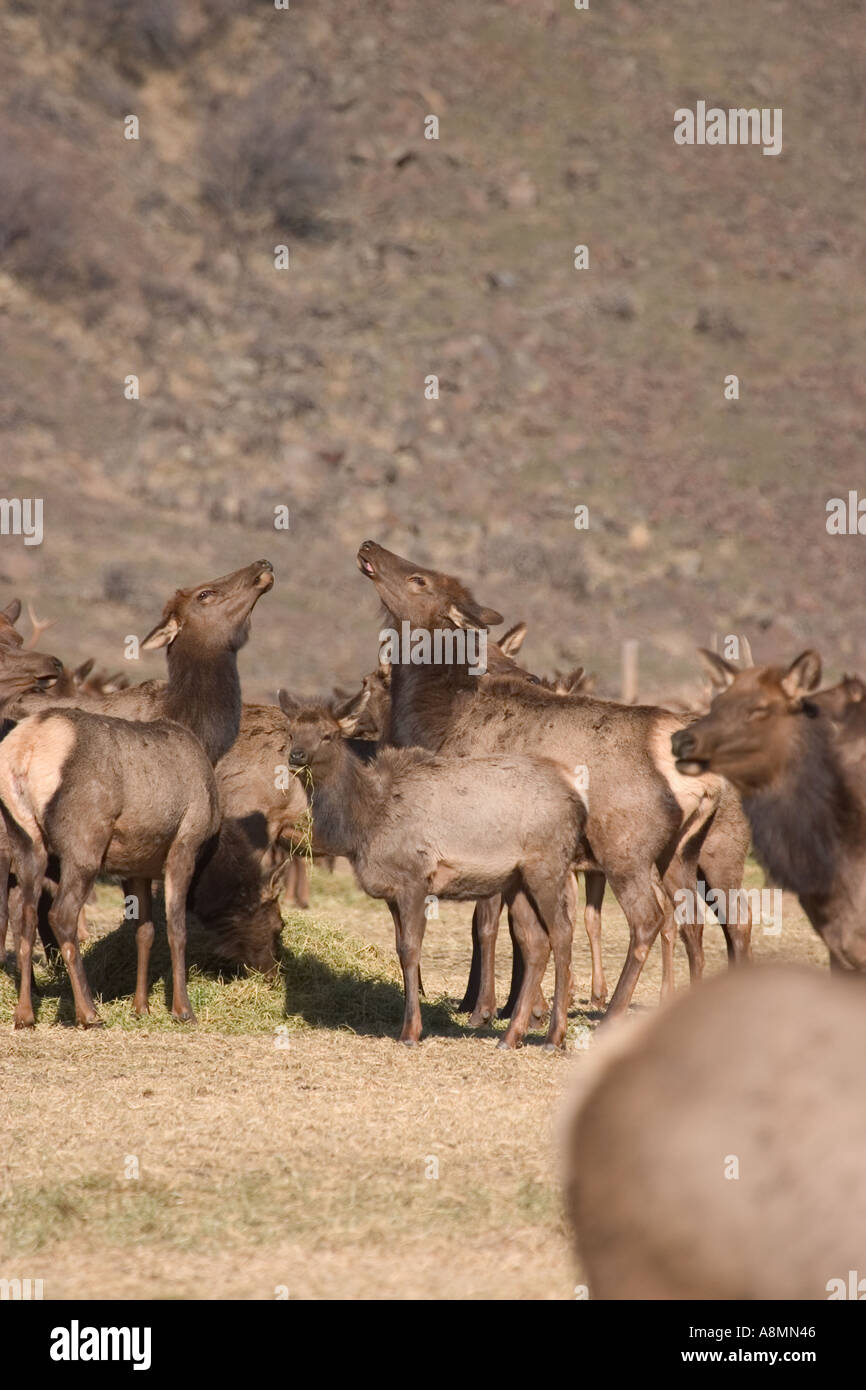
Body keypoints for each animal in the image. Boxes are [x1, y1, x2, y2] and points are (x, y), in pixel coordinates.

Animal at [278, 690, 588, 1049]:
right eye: (291, 732)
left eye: (328, 735)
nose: (296, 755)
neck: (364, 824)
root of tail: (578, 797)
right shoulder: (392, 891)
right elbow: (401, 950)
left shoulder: (415, 878)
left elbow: (412, 950)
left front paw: (411, 1031)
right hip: (517, 880)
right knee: (535, 942)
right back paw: (511, 1036)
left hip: (548, 865)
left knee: (562, 933)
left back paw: (554, 1036)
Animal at [357, 541, 751, 1023]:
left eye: (420, 580)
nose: (370, 546)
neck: (440, 720)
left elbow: (487, 925)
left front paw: (487, 1009)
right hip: (681, 852)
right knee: (696, 919)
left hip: (633, 847)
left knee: (655, 919)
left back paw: (614, 1010)